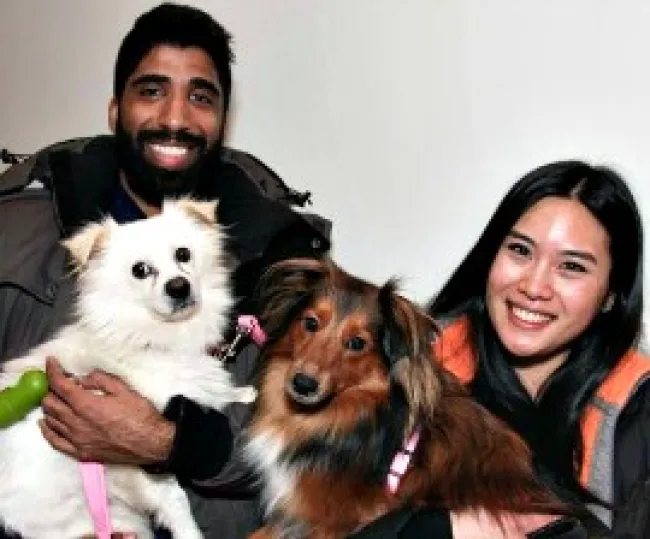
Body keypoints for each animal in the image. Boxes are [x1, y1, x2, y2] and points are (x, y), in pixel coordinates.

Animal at [0, 198, 255, 539]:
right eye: (140, 271)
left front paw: (246, 394)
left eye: (183, 254)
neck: (160, 338)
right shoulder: (141, 463)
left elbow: (218, 392)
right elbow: (178, 505)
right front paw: (191, 533)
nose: (179, 286)